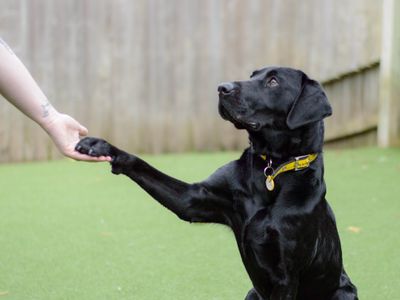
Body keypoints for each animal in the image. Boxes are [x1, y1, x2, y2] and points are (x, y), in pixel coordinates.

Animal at [76, 67, 358, 298]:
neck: (273, 169)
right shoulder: (194, 199)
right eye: (252, 74)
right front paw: (100, 145)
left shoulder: (285, 275)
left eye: (273, 81)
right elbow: (143, 166)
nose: (222, 88)